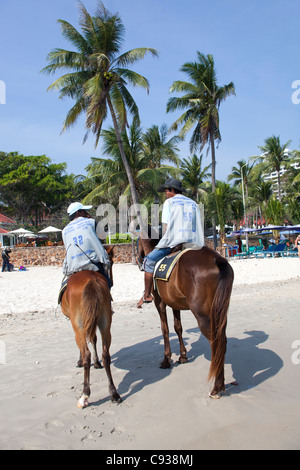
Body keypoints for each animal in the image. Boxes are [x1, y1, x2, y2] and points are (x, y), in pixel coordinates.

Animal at [60, 246, 121, 408]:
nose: (111, 280)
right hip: (105, 322)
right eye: (111, 262)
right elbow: (93, 339)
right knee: (106, 354)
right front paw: (97, 362)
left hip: (78, 324)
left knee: (86, 352)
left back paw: (85, 395)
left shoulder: (78, 324)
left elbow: (85, 345)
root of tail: (92, 281)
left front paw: (80, 361)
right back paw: (113, 393)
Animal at [138, 233, 234, 398]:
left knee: (216, 342)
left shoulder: (160, 302)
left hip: (204, 316)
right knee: (222, 341)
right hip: (219, 312)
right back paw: (220, 384)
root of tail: (217, 259)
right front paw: (182, 355)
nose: (138, 258)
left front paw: (166, 359)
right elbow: (178, 328)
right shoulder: (174, 303)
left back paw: (217, 386)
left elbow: (165, 330)